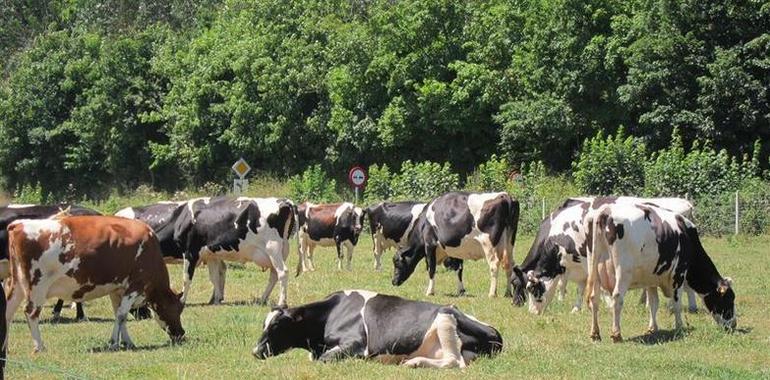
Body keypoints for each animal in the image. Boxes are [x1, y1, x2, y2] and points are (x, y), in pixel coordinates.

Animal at [5, 215, 184, 352]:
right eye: (177, 310)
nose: (181, 334)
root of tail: (18, 224)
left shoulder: (117, 288)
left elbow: (120, 315)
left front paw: (127, 342)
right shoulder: (135, 284)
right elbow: (121, 314)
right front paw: (113, 343)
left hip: (18, 285)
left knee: (8, 311)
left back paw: (4, 347)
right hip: (37, 286)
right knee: (31, 313)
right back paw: (39, 347)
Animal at [254, 288, 504, 368]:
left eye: (276, 325)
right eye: (264, 323)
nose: (255, 351)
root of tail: (496, 332)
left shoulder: (356, 344)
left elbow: (324, 359)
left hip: (445, 315)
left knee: (454, 361)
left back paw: (413, 363)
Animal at [508, 196, 700, 314]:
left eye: (530, 288)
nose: (530, 311)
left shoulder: (586, 261)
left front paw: (605, 304)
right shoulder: (575, 265)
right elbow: (579, 287)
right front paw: (576, 308)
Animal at [584, 202, 736, 342]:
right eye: (729, 299)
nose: (733, 325)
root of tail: (606, 211)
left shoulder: (650, 278)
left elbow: (653, 303)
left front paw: (652, 328)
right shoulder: (678, 275)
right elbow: (676, 303)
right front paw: (679, 326)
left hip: (594, 268)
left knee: (594, 298)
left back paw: (595, 334)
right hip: (623, 272)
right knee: (617, 298)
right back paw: (616, 334)